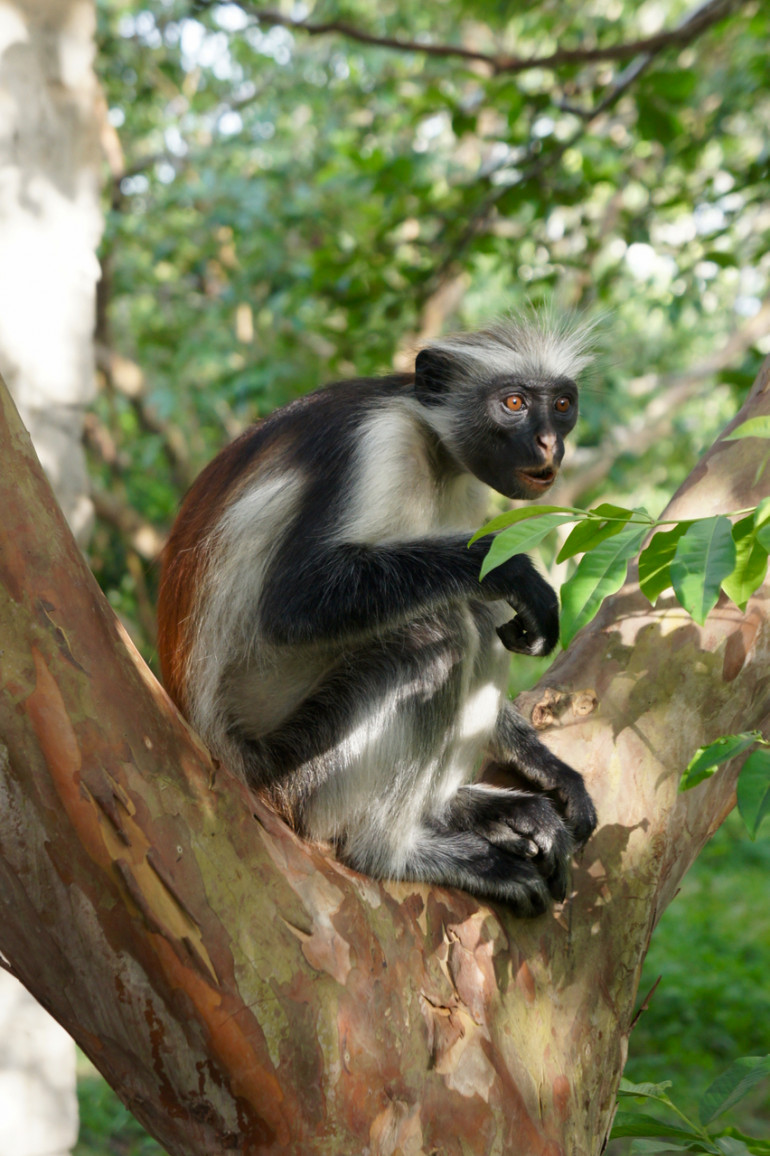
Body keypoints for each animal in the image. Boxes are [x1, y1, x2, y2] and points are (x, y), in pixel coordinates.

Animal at [158, 316, 596, 910]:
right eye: (513, 403)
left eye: (563, 405)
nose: (550, 440)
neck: (431, 444)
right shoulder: (376, 442)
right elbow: (293, 604)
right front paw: (513, 573)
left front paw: (548, 769)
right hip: (295, 770)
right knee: (438, 632)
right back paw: (393, 853)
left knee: (467, 618)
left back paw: (463, 809)